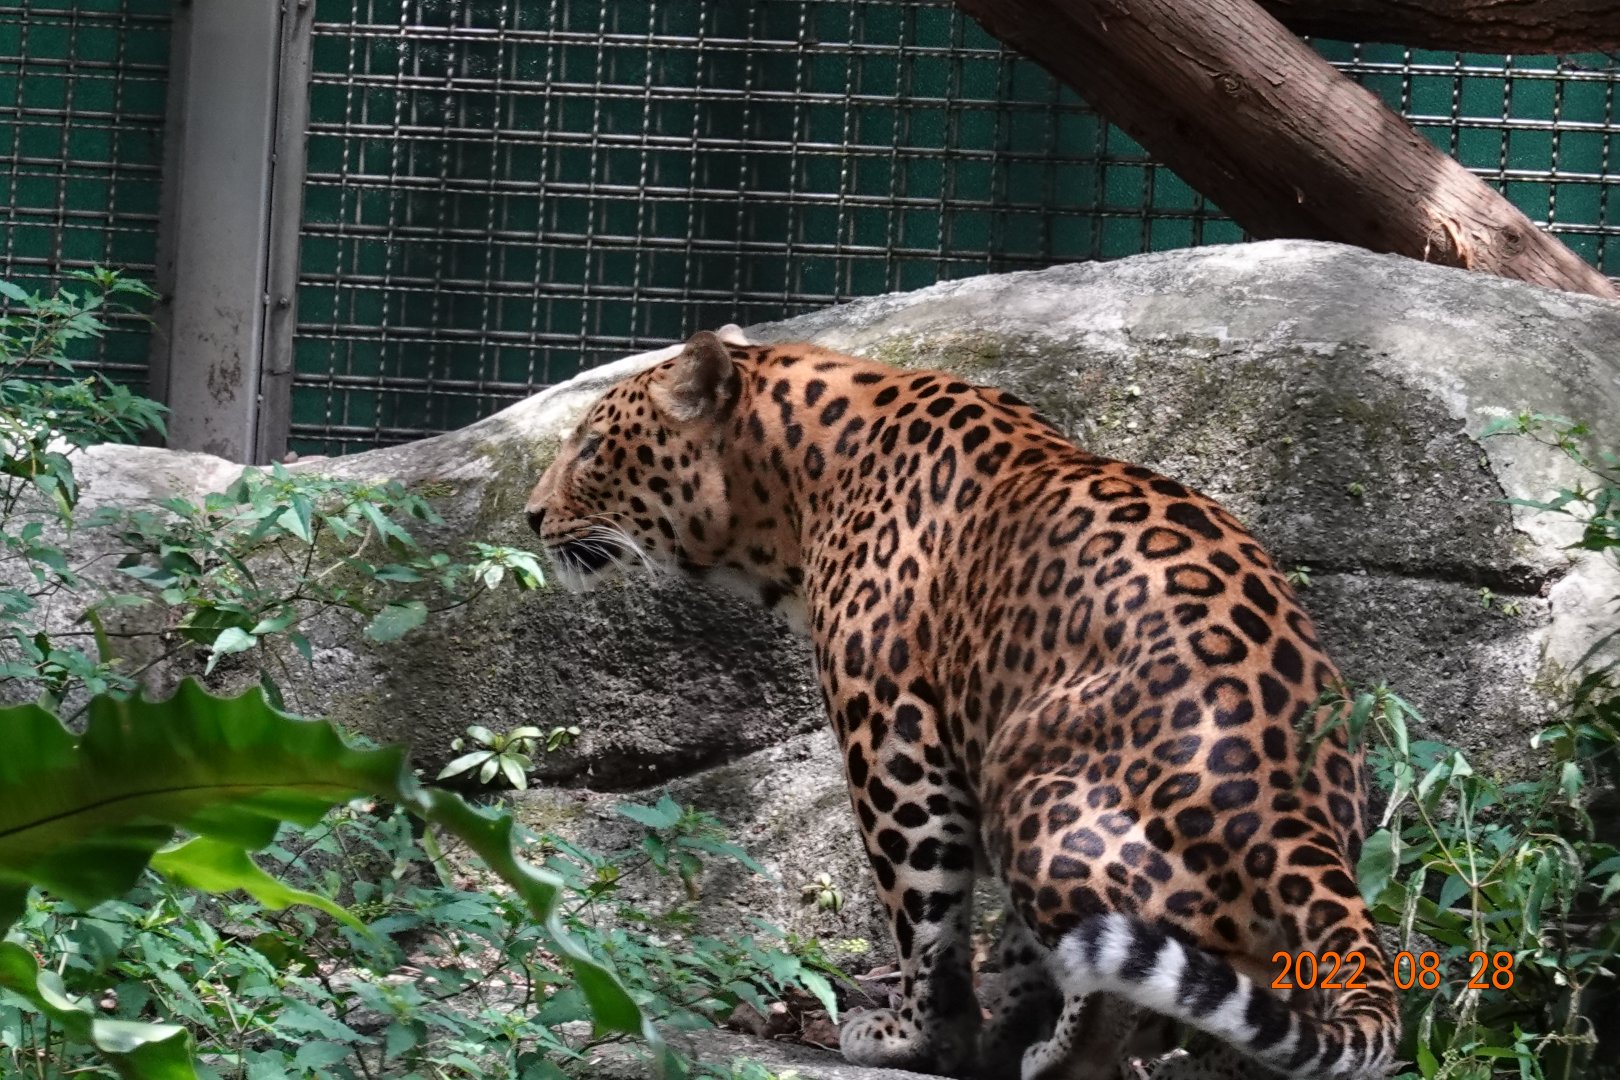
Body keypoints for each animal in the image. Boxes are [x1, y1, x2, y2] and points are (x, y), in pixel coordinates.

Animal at [524, 330, 1400, 1080]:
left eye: (593, 447)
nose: (530, 515)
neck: (794, 483)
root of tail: (1297, 814)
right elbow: (1011, 948)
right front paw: (996, 1032)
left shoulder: (893, 736)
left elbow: (924, 911)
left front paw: (915, 1038)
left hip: (1033, 782)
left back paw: (1061, 1057)